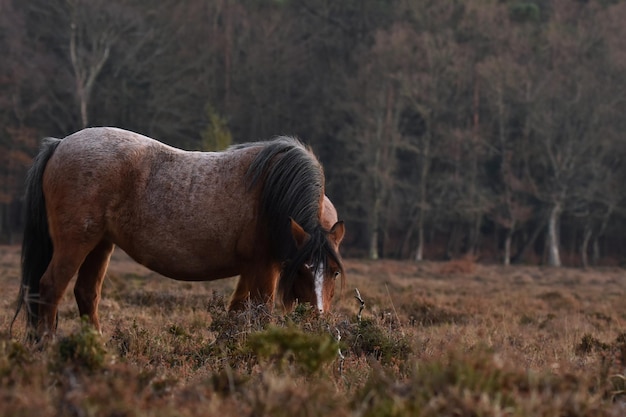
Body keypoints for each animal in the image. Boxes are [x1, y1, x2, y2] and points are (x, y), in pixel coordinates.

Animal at [13, 127, 346, 342]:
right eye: (301, 271)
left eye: (334, 272)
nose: (317, 323)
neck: (271, 192)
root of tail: (60, 144)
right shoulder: (266, 268)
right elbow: (260, 313)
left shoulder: (251, 269)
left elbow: (236, 313)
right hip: (75, 244)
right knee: (50, 288)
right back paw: (47, 348)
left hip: (100, 245)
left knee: (86, 293)